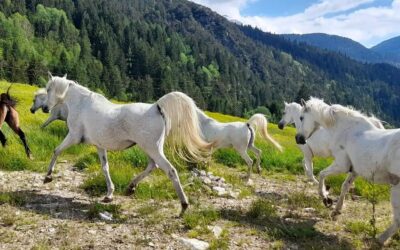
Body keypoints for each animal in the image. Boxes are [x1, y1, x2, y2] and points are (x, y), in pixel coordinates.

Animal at [41, 73, 212, 216]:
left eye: (49, 89)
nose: (44, 108)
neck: (81, 104)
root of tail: (156, 107)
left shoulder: (73, 136)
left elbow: (56, 150)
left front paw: (48, 177)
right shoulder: (99, 146)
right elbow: (105, 168)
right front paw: (109, 195)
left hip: (151, 148)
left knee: (170, 170)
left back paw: (183, 205)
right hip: (150, 148)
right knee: (152, 166)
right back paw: (131, 187)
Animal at [296, 97, 400, 244]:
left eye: (301, 117)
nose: (298, 138)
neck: (346, 130)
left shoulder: (341, 164)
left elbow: (321, 174)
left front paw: (325, 197)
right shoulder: (354, 170)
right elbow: (345, 186)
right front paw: (336, 211)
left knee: (398, 219)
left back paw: (380, 239)